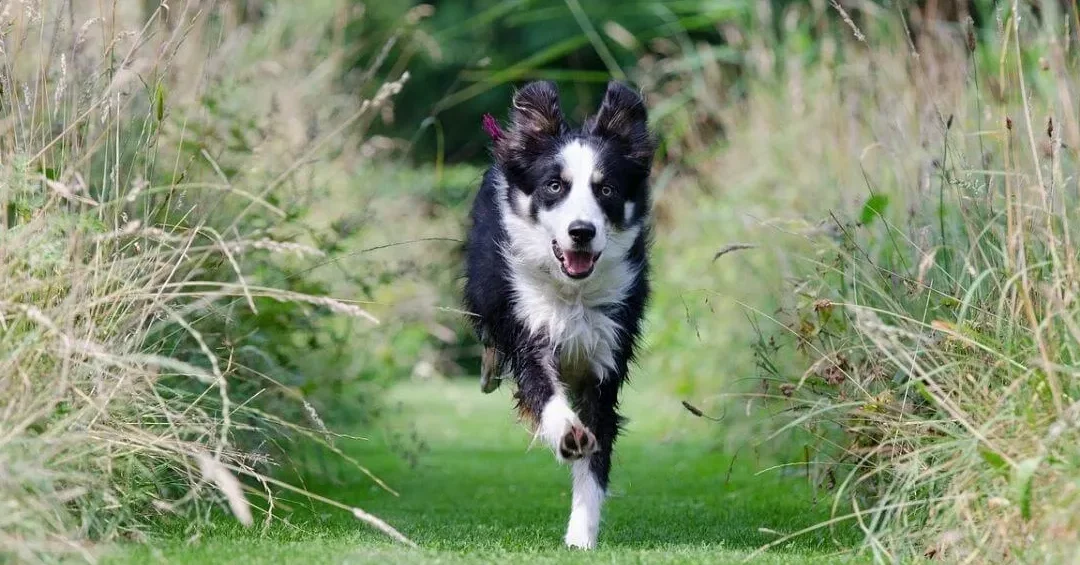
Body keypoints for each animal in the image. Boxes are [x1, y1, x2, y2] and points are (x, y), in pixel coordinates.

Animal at [462, 79, 652, 548]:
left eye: (606, 189)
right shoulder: (527, 325)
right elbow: (543, 388)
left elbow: (596, 454)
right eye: (554, 186)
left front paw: (581, 535)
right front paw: (567, 432)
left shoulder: (607, 351)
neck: (573, 294)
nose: (581, 231)